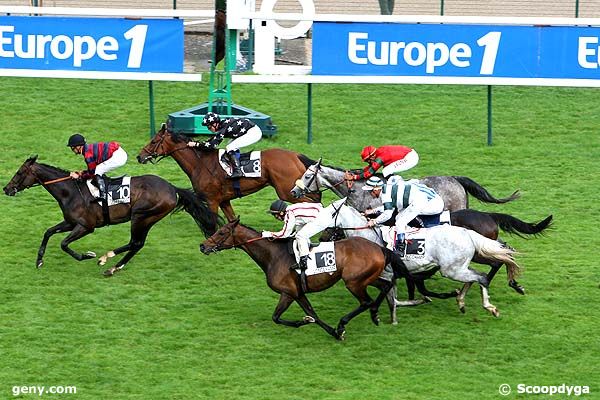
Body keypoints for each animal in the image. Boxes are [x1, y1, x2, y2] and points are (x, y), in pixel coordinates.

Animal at [3, 157, 219, 278]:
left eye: (20, 172)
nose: (6, 189)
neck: (70, 191)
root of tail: (172, 188)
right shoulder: (71, 222)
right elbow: (48, 232)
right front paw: (39, 261)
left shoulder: (85, 226)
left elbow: (64, 244)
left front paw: (87, 255)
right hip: (147, 218)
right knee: (136, 244)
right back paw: (112, 266)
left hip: (141, 216)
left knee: (135, 243)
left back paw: (107, 261)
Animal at [137, 123, 318, 220]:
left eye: (153, 141)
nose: (140, 156)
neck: (199, 164)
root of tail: (295, 155)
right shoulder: (224, 200)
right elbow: (232, 220)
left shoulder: (212, 200)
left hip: (286, 191)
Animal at [199, 219, 406, 340]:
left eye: (221, 232)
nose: (203, 246)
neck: (273, 255)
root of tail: (380, 247)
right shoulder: (297, 293)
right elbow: (311, 313)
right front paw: (333, 332)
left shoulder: (289, 292)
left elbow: (278, 317)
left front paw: (308, 323)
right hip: (366, 278)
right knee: (386, 285)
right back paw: (374, 314)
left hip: (353, 282)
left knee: (366, 301)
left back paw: (348, 320)